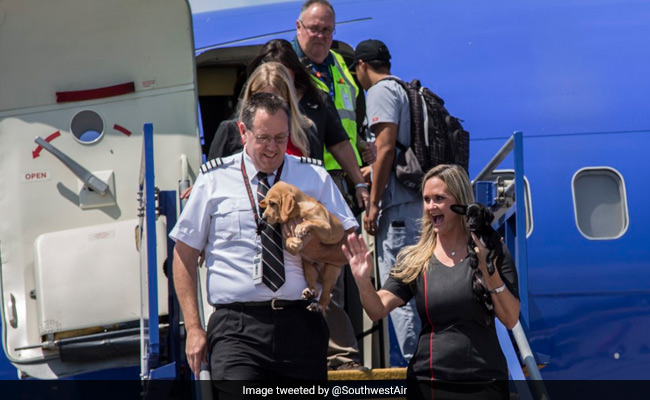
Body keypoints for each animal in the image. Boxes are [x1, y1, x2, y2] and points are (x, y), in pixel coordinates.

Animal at [258, 181, 344, 312]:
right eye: (266, 204)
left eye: (272, 203)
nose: (262, 218)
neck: (299, 210)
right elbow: (288, 241)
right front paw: (293, 243)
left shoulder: (326, 228)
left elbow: (310, 222)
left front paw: (301, 227)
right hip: (308, 269)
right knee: (315, 288)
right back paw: (309, 292)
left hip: (330, 272)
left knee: (325, 296)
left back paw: (318, 305)